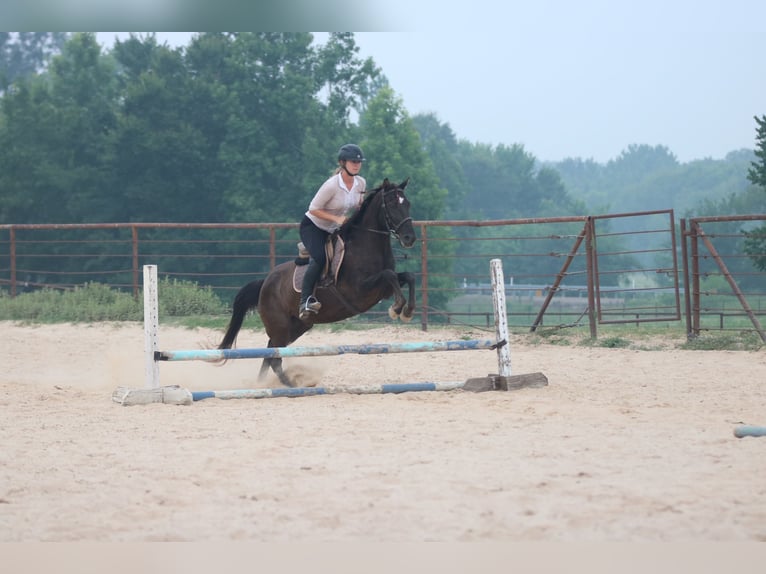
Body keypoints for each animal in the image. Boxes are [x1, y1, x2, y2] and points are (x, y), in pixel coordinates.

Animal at [217, 177, 417, 387]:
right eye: (393, 204)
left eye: (408, 204)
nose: (409, 238)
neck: (365, 246)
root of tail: (265, 283)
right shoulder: (358, 291)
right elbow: (389, 274)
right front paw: (397, 308)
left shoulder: (383, 290)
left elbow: (408, 276)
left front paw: (407, 311)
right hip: (279, 326)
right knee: (274, 358)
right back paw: (291, 385)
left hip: (297, 326)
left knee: (270, 354)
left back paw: (265, 385)